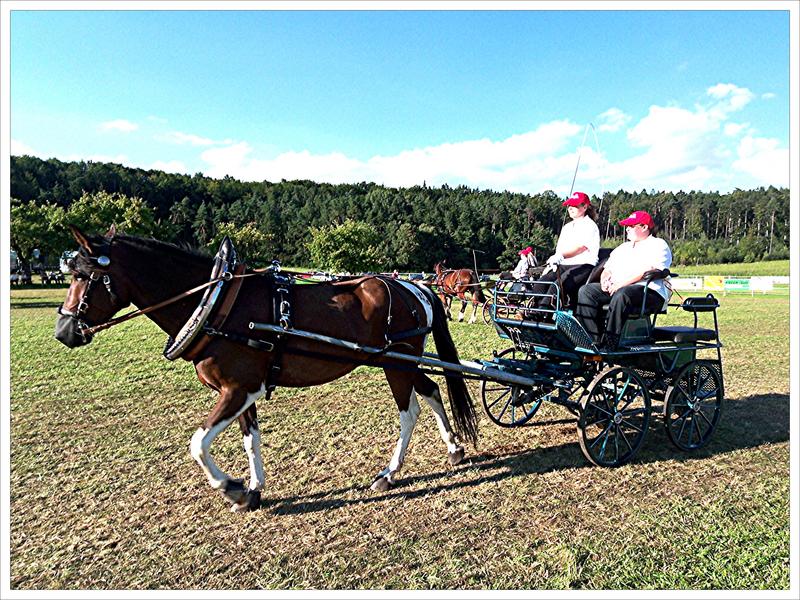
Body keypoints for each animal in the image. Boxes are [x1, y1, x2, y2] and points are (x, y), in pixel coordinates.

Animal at [57, 227, 482, 512]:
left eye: (84, 276)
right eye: (69, 274)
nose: (63, 331)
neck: (218, 303)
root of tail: (416, 288)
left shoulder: (239, 388)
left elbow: (198, 444)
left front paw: (230, 486)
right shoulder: (241, 390)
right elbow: (251, 439)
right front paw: (252, 490)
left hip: (395, 362)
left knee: (409, 411)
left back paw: (389, 472)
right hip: (397, 360)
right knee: (431, 391)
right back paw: (454, 449)